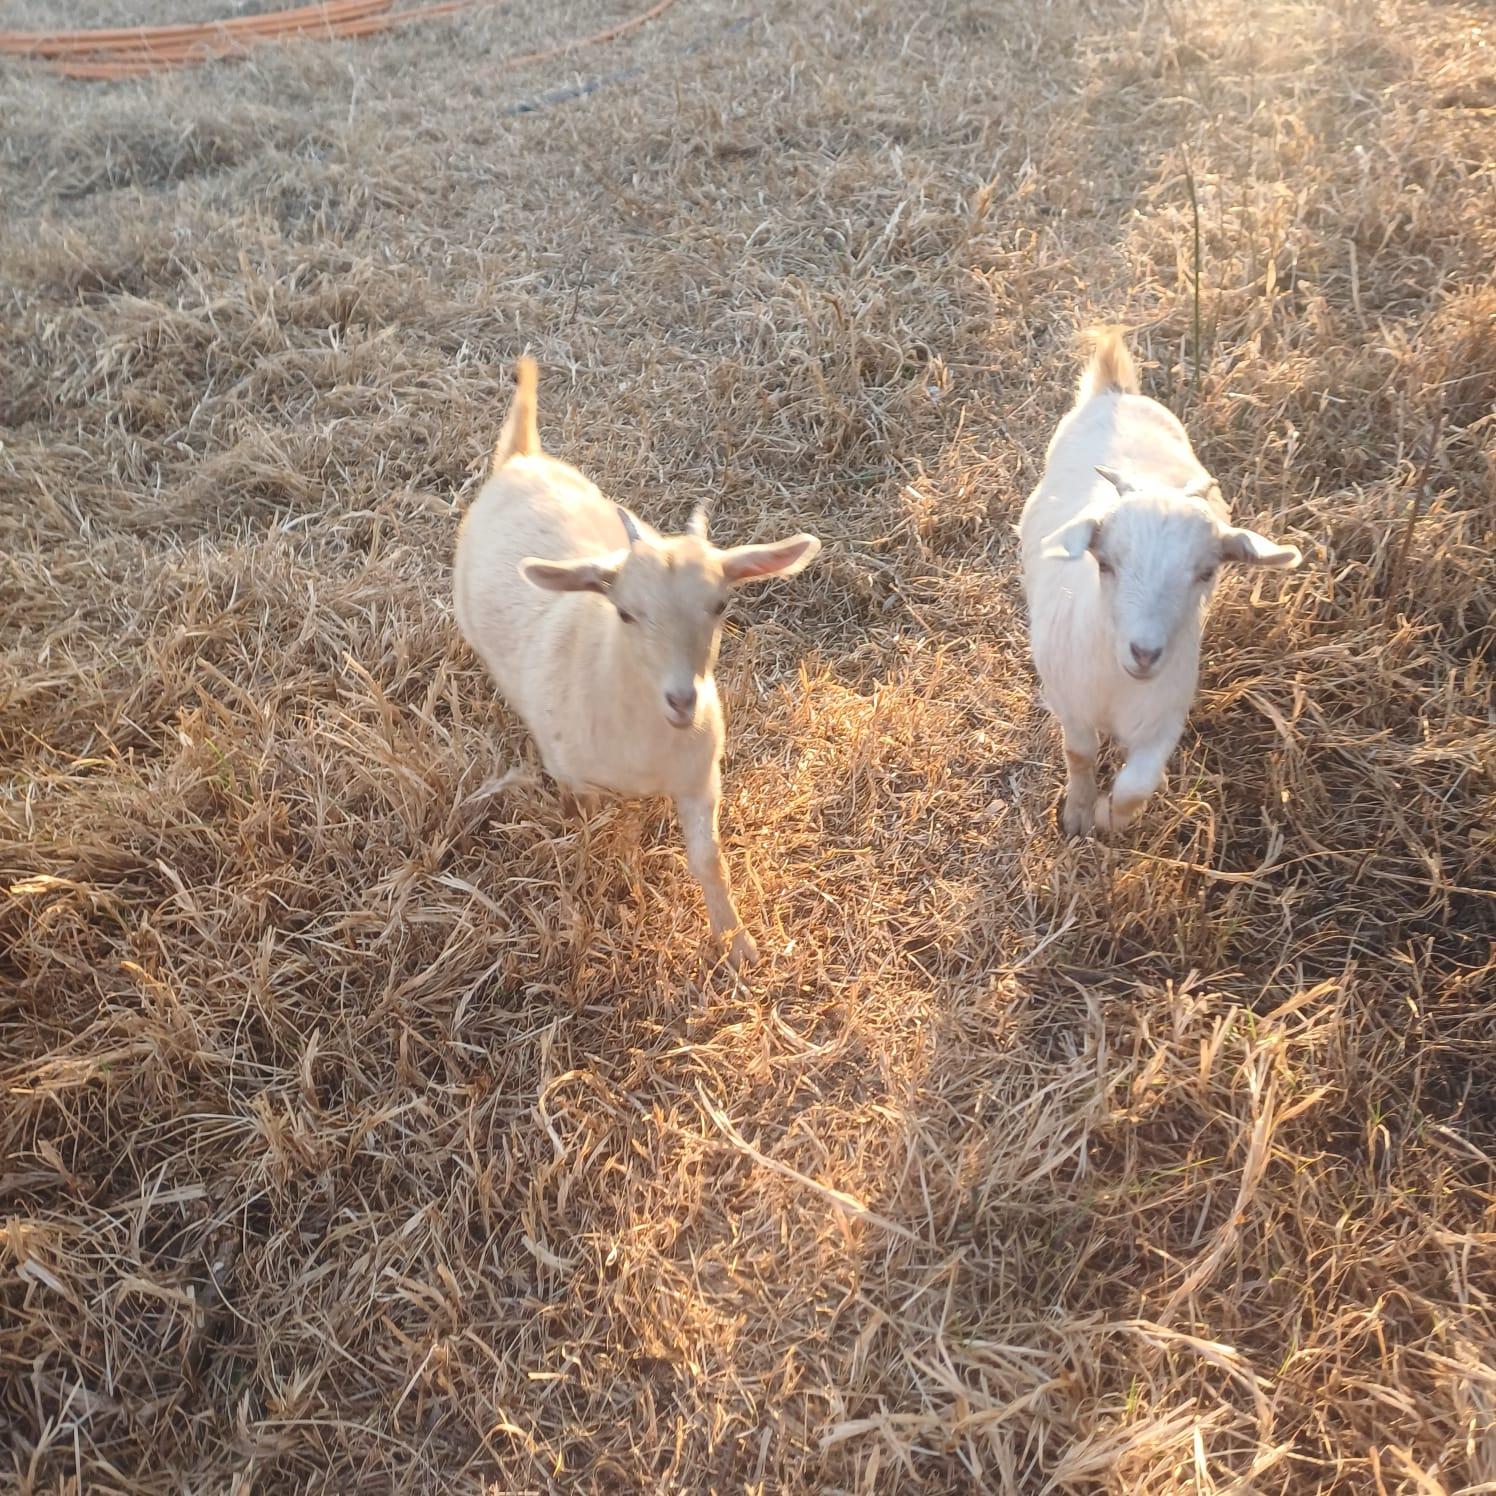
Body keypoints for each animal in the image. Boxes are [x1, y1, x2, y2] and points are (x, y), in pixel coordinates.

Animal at [453, 358, 821, 968]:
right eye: (625, 613)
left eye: (721, 606)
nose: (682, 700)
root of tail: (523, 457)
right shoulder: (577, 779)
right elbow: (600, 834)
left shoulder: (701, 778)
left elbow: (710, 861)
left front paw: (737, 944)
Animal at [1020, 330, 1302, 836]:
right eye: (1105, 563)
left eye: (1207, 572)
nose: (1146, 653)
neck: (1116, 684)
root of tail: (1116, 393)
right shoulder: (1069, 699)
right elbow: (1079, 753)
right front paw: (1076, 816)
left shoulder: (1165, 718)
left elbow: (1137, 786)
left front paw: (1107, 817)